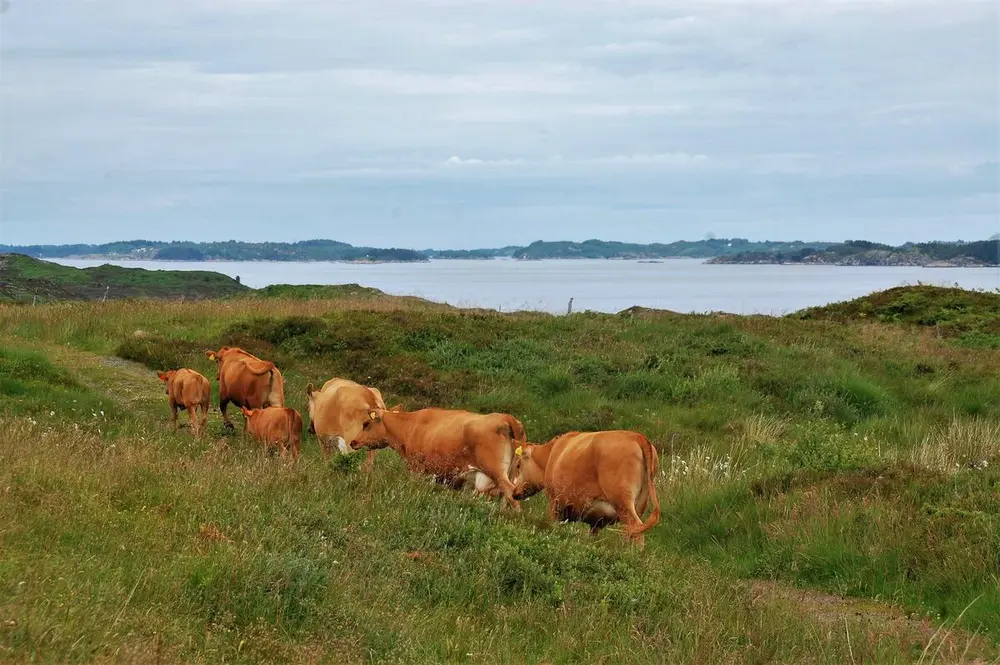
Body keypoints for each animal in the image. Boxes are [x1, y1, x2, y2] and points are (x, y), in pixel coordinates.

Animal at [350, 404, 528, 508]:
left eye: (366, 424)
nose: (353, 441)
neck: (410, 426)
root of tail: (504, 417)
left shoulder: (418, 468)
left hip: (497, 472)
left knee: (511, 496)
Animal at [512, 430, 660, 544]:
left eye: (518, 465)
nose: (514, 492)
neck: (552, 454)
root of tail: (636, 435)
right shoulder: (597, 521)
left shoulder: (555, 503)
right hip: (639, 504)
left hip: (623, 503)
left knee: (636, 529)